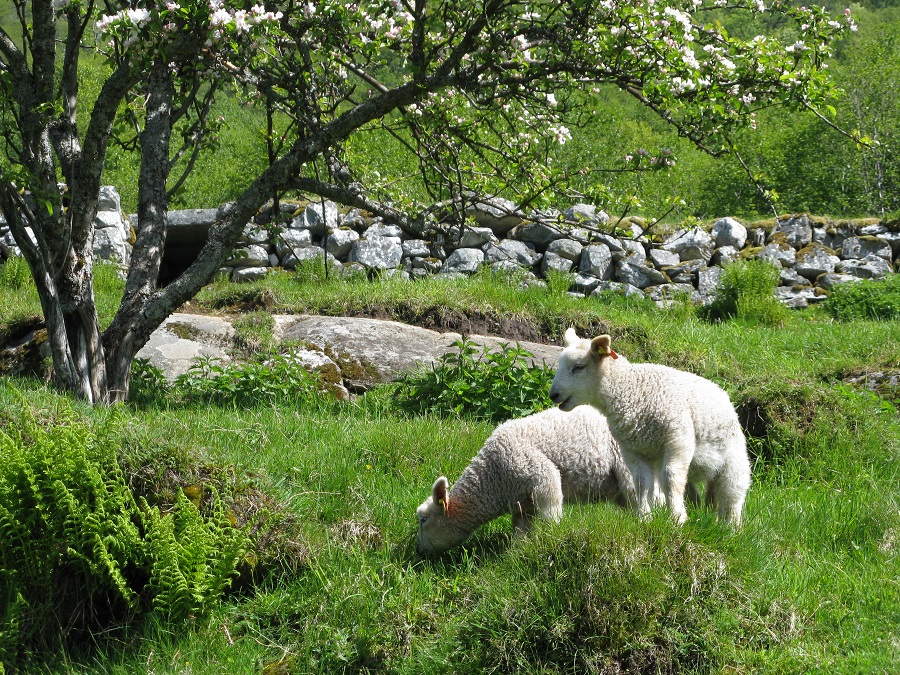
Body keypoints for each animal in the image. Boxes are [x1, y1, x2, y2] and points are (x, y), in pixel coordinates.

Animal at [415, 405, 636, 555]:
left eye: (423, 519)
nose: (418, 551)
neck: (493, 479)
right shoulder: (522, 504)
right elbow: (521, 532)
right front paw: (517, 553)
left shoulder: (542, 476)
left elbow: (551, 514)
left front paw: (552, 538)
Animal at [548, 328, 750, 526]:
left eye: (579, 367)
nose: (553, 395)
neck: (631, 392)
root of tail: (722, 393)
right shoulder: (633, 450)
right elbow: (641, 483)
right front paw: (644, 517)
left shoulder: (678, 439)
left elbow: (671, 478)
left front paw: (677, 519)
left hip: (734, 460)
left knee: (731, 495)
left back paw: (731, 528)